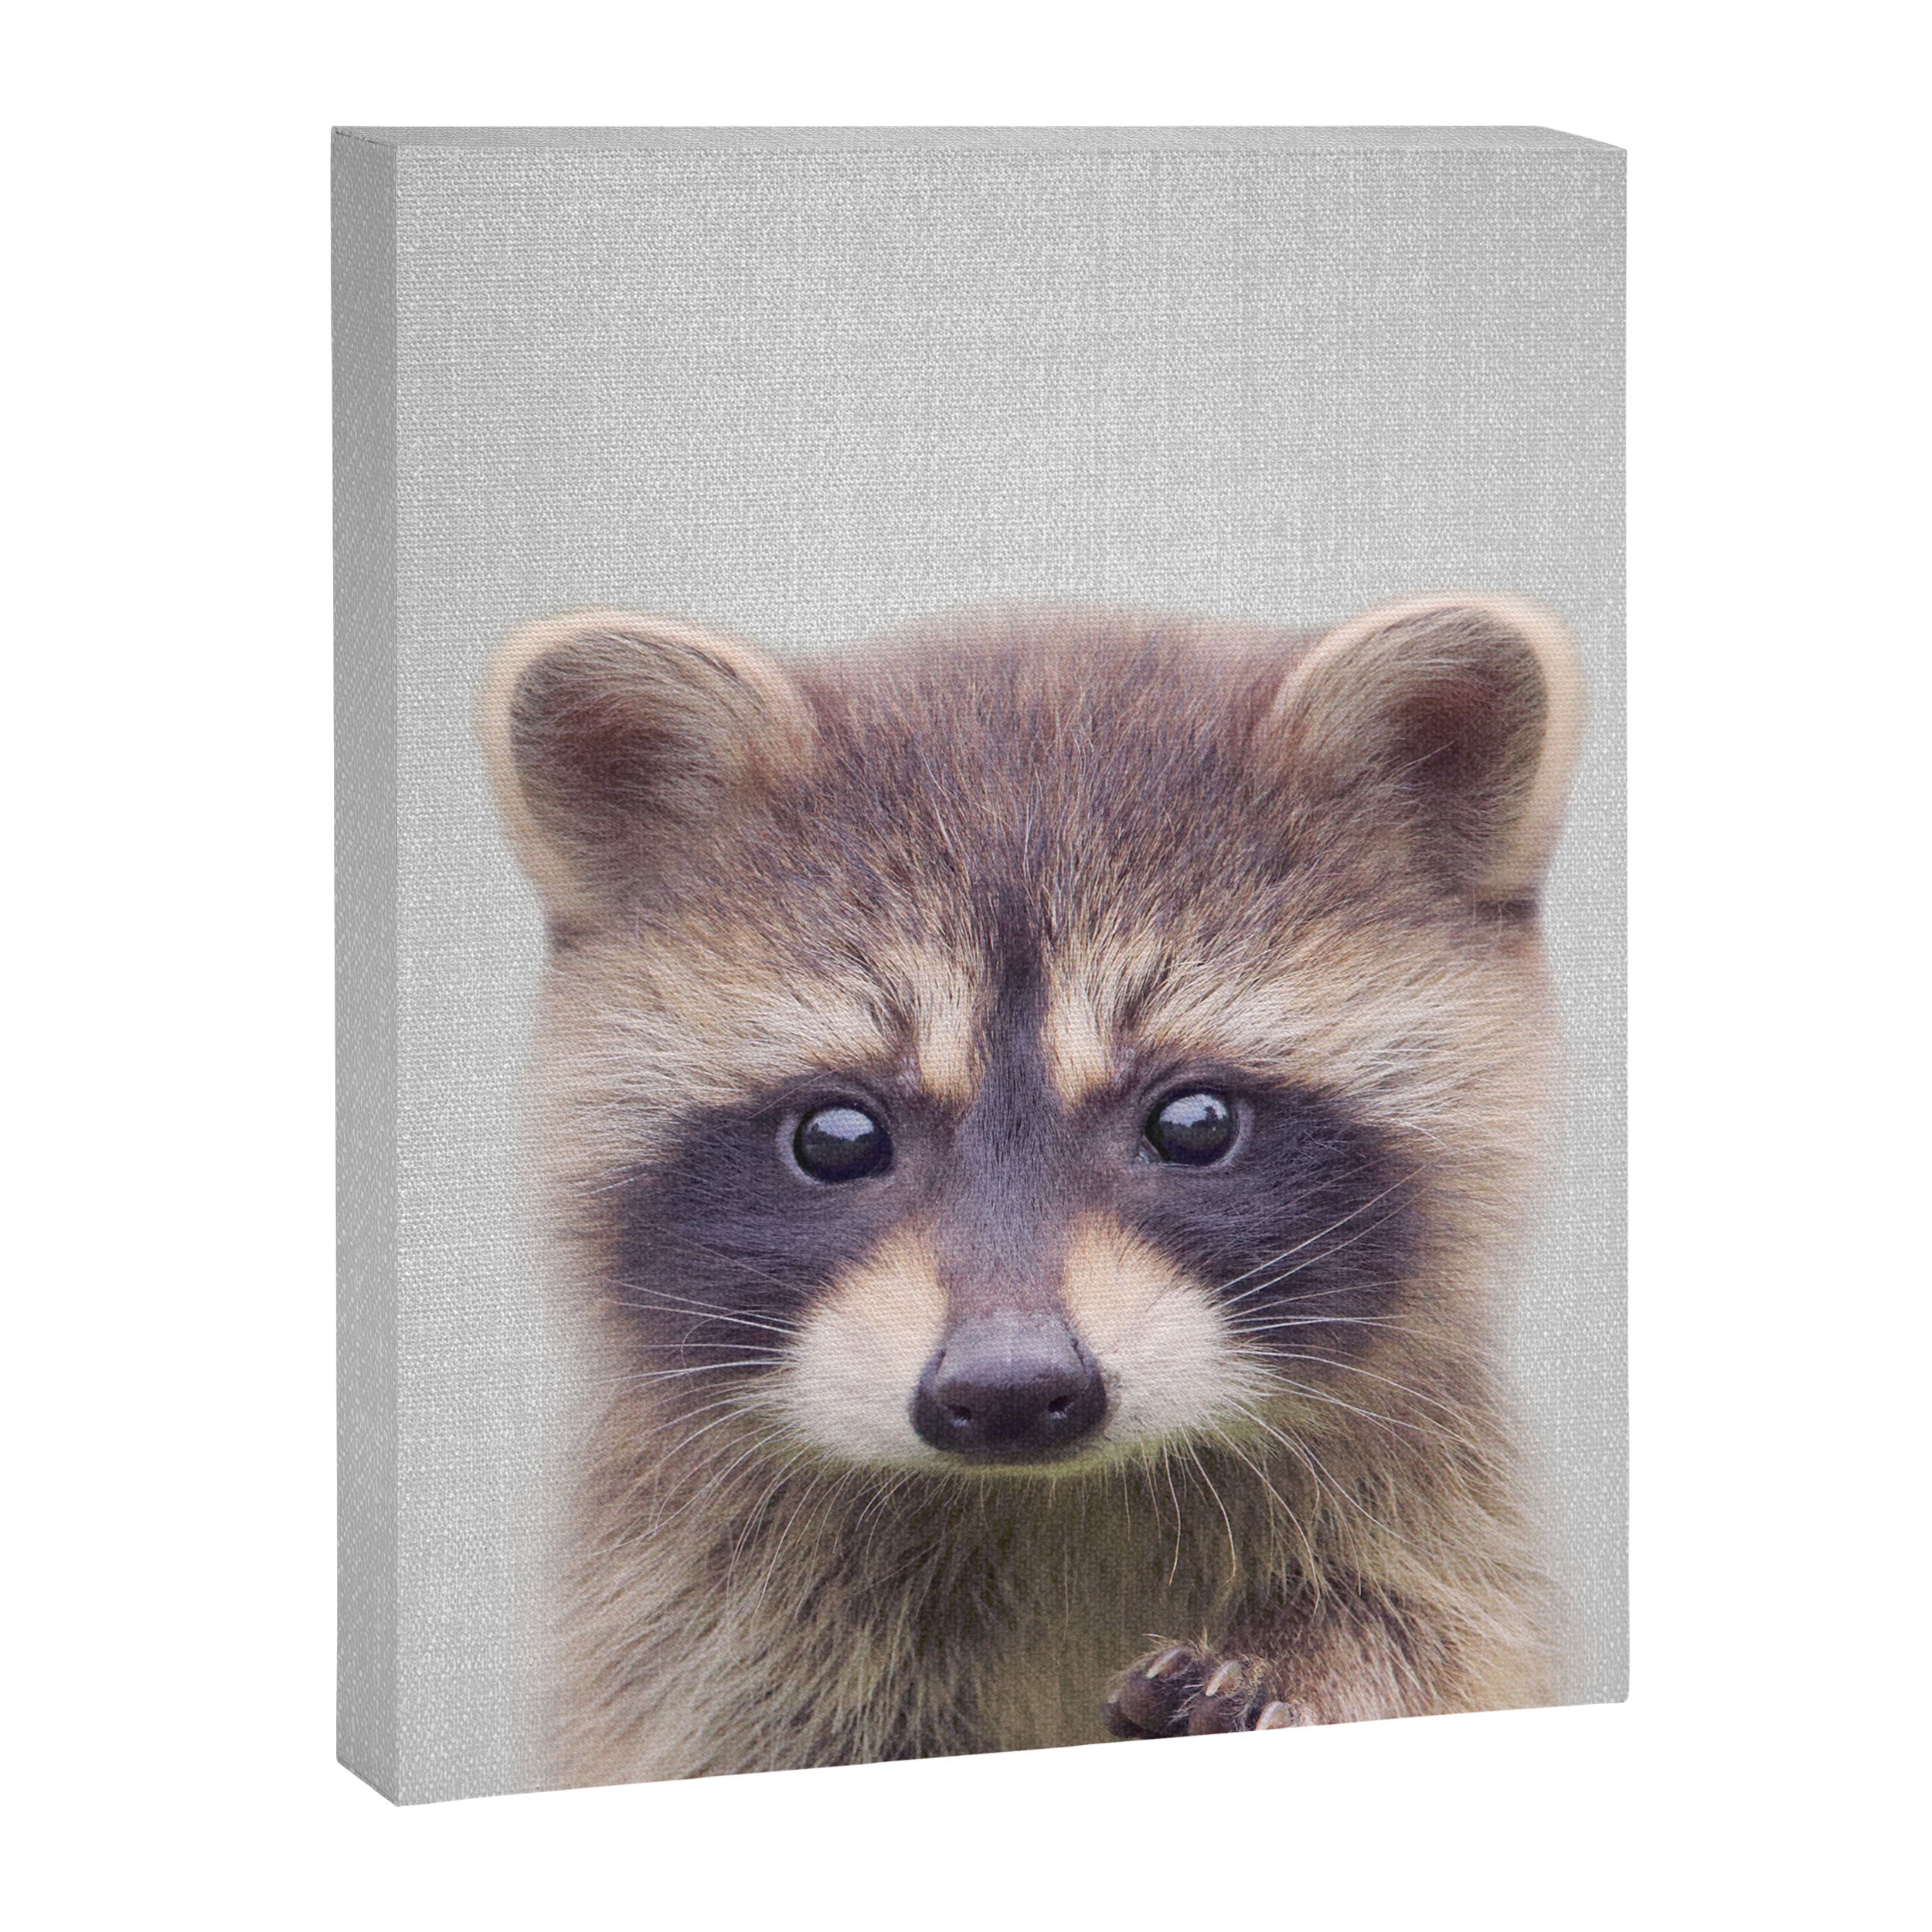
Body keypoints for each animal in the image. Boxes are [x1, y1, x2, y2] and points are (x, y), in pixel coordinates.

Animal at [478, 591, 1582, 1785]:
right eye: (836, 1138)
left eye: (1194, 1124)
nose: (1009, 1389)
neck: (1048, 1495)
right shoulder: (694, 1622)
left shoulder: (1437, 1523)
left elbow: (1416, 1631)